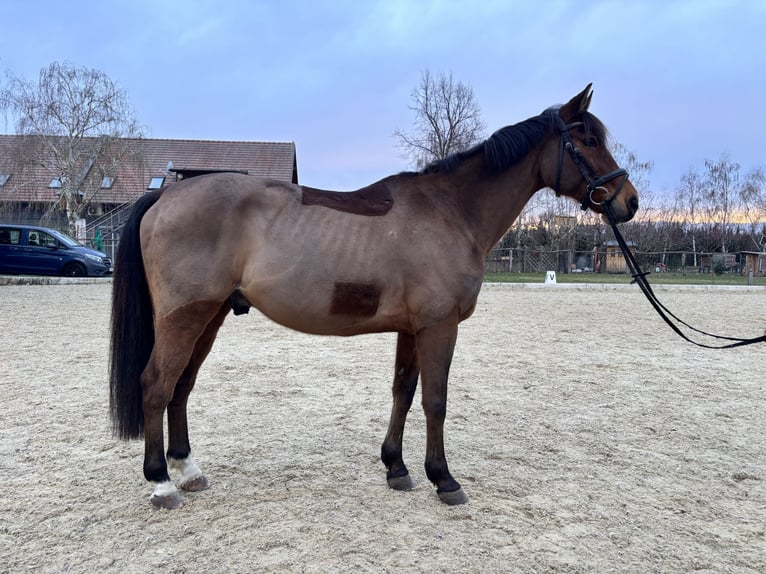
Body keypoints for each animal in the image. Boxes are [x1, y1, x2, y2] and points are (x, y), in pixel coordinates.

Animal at [109, 84, 639, 509]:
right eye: (588, 141)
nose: (628, 201)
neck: (449, 212)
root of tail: (166, 194)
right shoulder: (439, 326)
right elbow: (435, 400)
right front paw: (444, 479)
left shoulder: (412, 328)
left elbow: (403, 392)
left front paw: (396, 468)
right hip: (184, 317)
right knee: (156, 384)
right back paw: (162, 483)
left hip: (211, 315)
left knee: (181, 387)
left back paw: (188, 470)